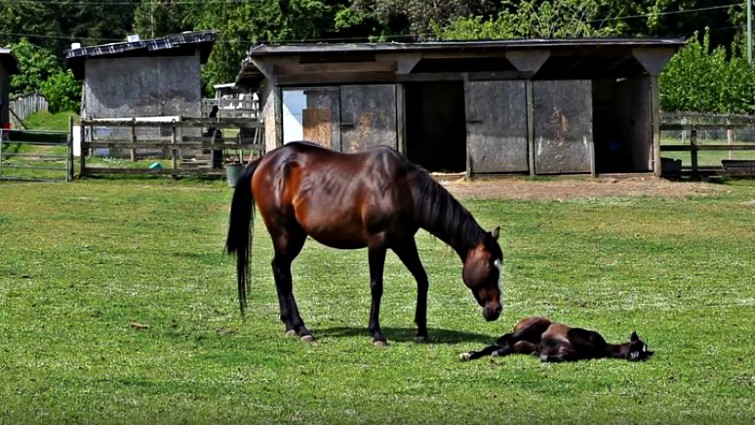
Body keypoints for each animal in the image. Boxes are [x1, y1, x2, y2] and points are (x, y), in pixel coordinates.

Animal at [225, 141, 503, 346]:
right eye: (491, 269)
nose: (497, 309)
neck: (404, 189)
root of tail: (264, 161)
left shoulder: (403, 242)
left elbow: (422, 279)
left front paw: (422, 330)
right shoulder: (377, 243)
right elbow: (376, 286)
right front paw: (377, 333)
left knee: (279, 270)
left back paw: (290, 325)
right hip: (287, 235)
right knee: (283, 273)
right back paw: (302, 329)